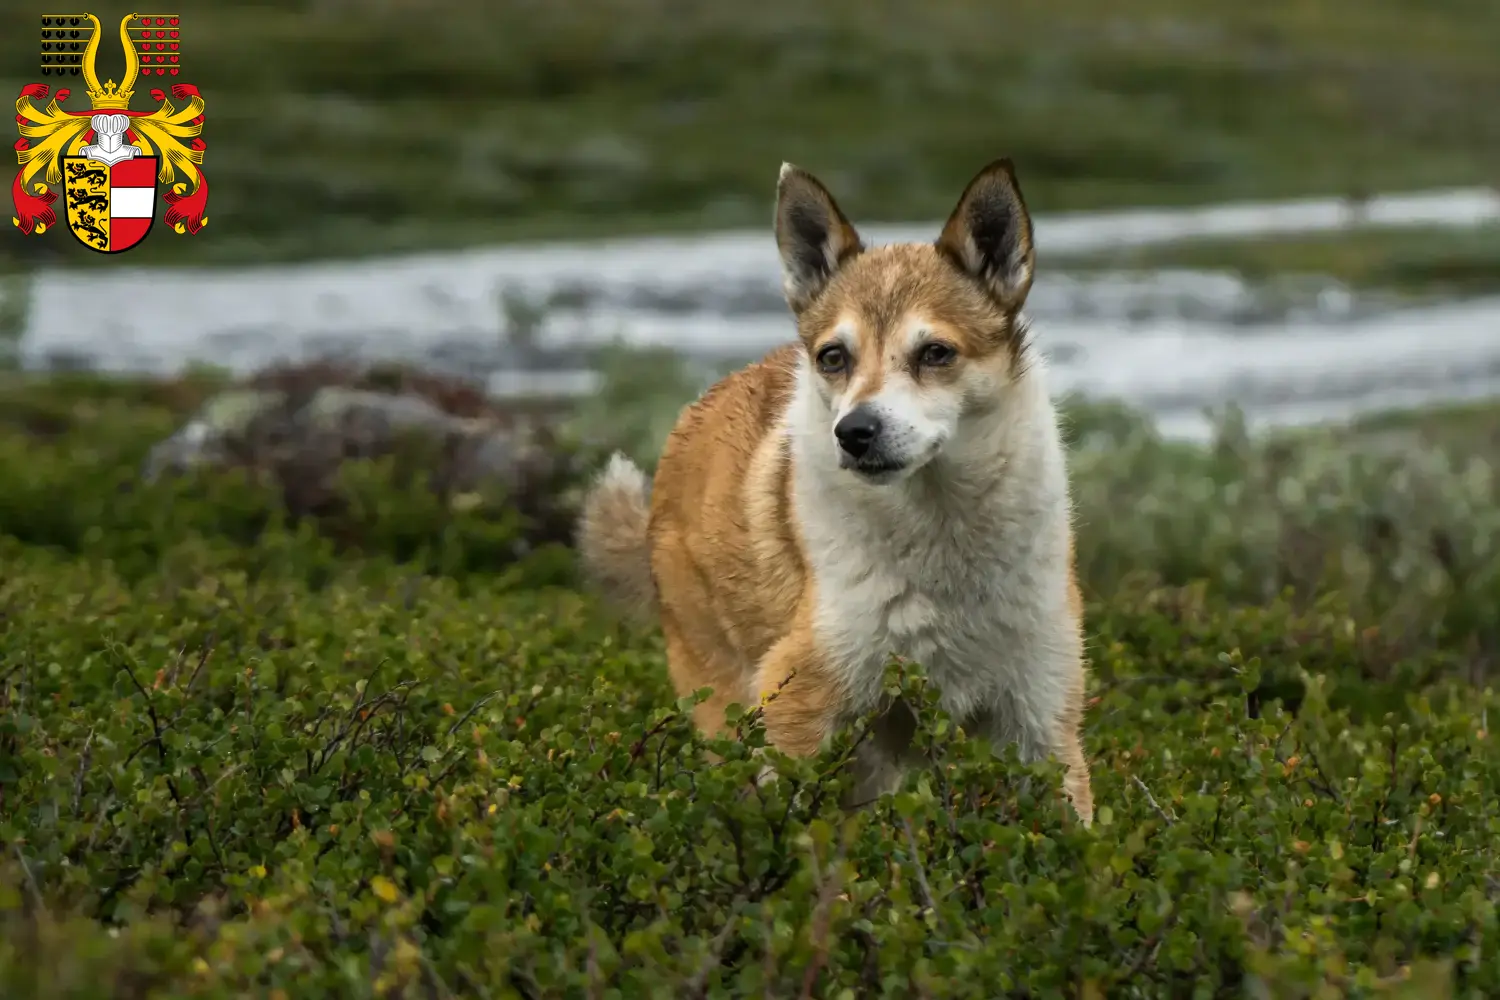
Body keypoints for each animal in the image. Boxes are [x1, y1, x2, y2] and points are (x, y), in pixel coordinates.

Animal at [579, 158, 1098, 827]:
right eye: (833, 357)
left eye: (935, 353)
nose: (853, 433)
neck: (941, 530)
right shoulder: (798, 702)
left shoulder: (1042, 724)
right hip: (738, 719)